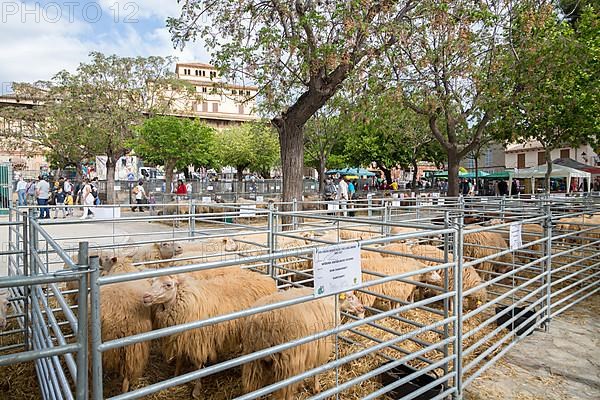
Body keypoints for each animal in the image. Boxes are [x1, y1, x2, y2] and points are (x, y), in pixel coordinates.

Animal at [144, 270, 278, 398]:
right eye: (152, 282)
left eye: (168, 285)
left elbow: (197, 366)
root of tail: (266, 278)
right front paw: (176, 377)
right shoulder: (181, 338)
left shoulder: (197, 341)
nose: (145, 296)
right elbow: (179, 360)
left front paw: (196, 390)